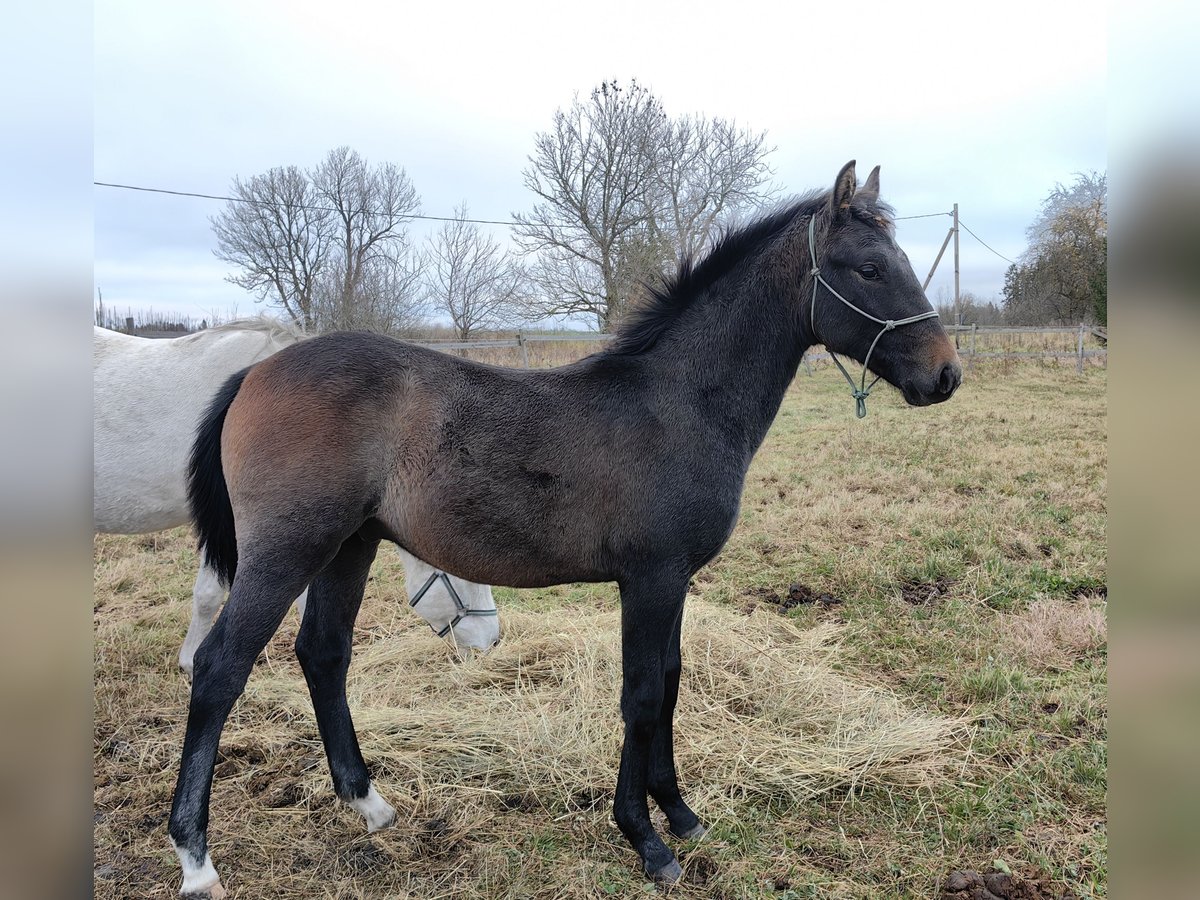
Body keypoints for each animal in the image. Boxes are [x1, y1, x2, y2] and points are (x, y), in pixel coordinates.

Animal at [169, 164, 960, 897]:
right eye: (869, 268)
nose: (945, 374)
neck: (678, 402)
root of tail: (254, 371)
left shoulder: (673, 581)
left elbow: (670, 680)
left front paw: (682, 814)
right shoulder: (650, 578)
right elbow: (642, 695)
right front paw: (646, 839)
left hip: (348, 547)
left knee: (323, 654)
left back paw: (370, 805)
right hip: (288, 550)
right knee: (220, 668)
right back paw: (196, 859)